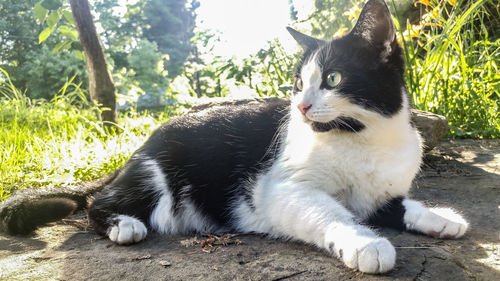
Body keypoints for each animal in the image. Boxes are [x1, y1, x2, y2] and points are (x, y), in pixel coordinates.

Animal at [0, 0, 468, 272]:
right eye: (298, 83)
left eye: (333, 78)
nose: (300, 106)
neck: (365, 137)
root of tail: (138, 148)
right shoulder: (278, 189)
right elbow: (332, 213)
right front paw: (365, 243)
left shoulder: (382, 189)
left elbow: (400, 204)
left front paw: (440, 218)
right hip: (156, 173)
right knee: (98, 202)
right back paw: (124, 225)